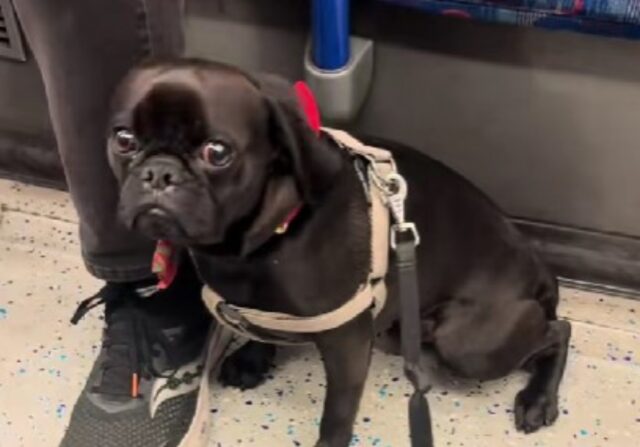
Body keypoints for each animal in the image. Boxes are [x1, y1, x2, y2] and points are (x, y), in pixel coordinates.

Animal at [107, 59, 572, 447]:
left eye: (216, 152)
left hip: (467, 344)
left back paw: (538, 399)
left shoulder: (347, 342)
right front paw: (254, 360)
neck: (263, 240)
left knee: (557, 331)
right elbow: (260, 329)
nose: (159, 173)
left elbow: (338, 411)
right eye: (124, 140)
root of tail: (536, 265)